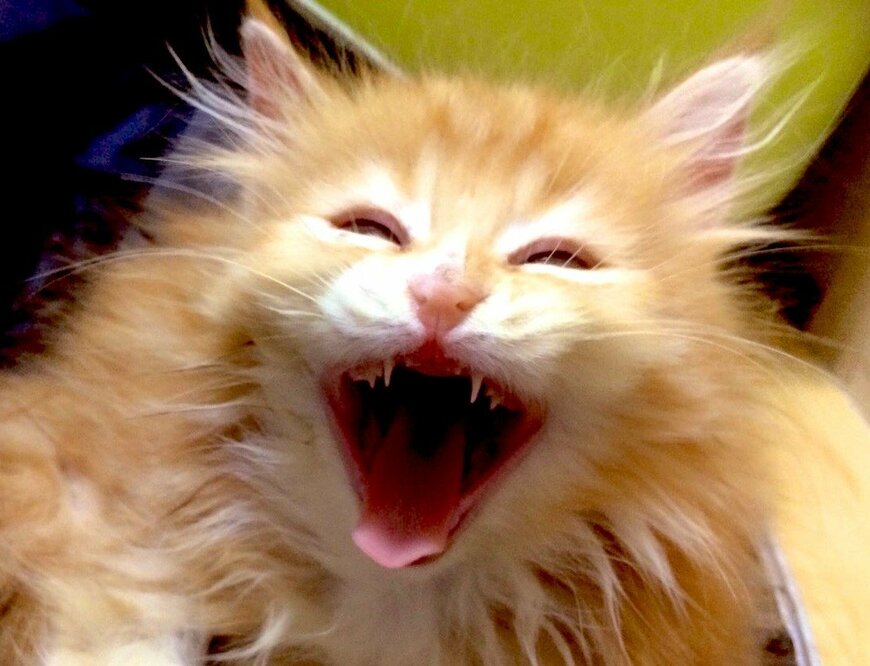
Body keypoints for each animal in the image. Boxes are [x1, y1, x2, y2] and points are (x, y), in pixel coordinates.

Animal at [0, 3, 836, 665]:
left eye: (556, 260)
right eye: (371, 229)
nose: (444, 292)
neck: (394, 600)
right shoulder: (105, 517)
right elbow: (127, 620)